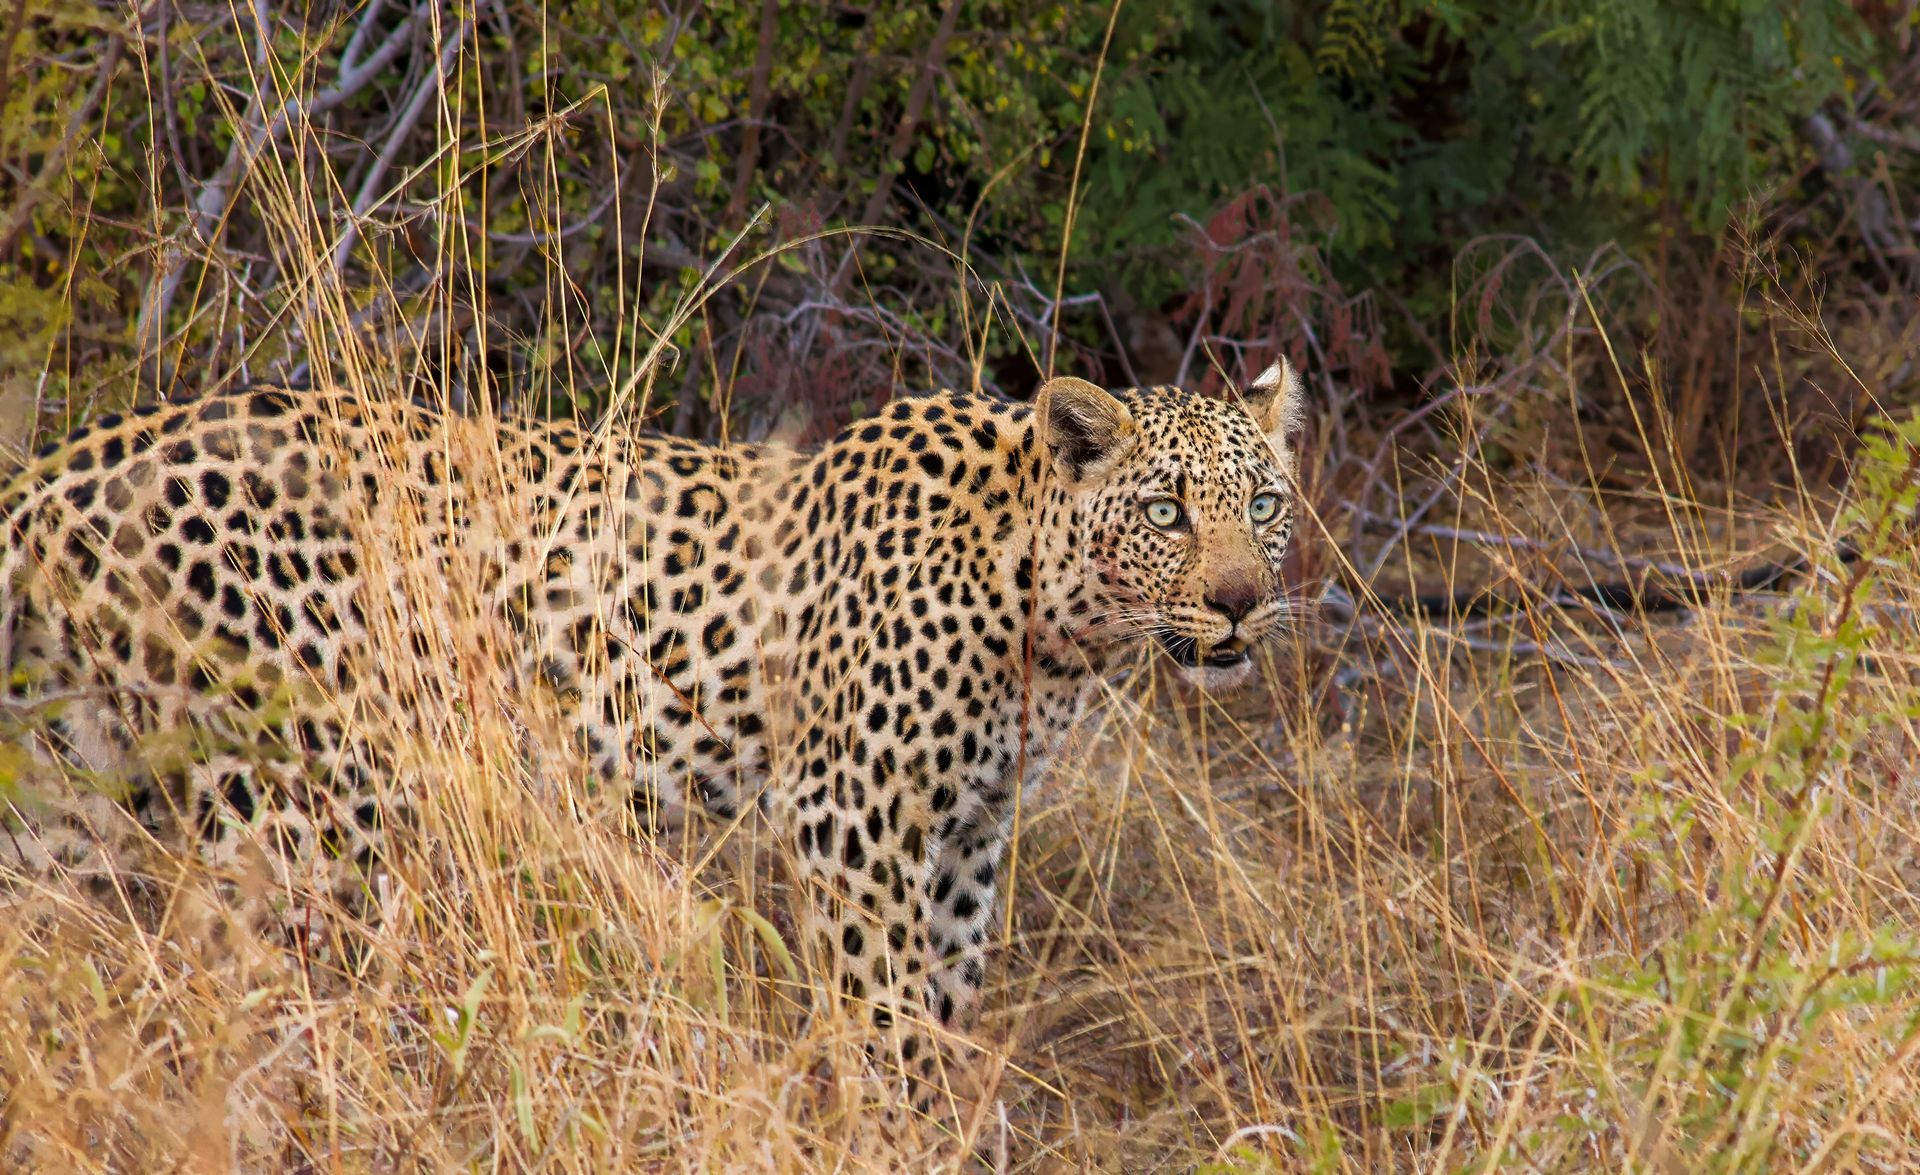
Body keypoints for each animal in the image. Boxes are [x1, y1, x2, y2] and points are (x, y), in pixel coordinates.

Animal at [0, 362, 1305, 1105]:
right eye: (1166, 511)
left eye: (1265, 504)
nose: (1243, 600)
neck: (1048, 615)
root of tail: (75, 458)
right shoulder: (852, 815)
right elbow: (882, 1011)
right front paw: (890, 1127)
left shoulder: (967, 835)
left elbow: (942, 1004)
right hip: (304, 800)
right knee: (252, 992)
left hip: (73, 787)